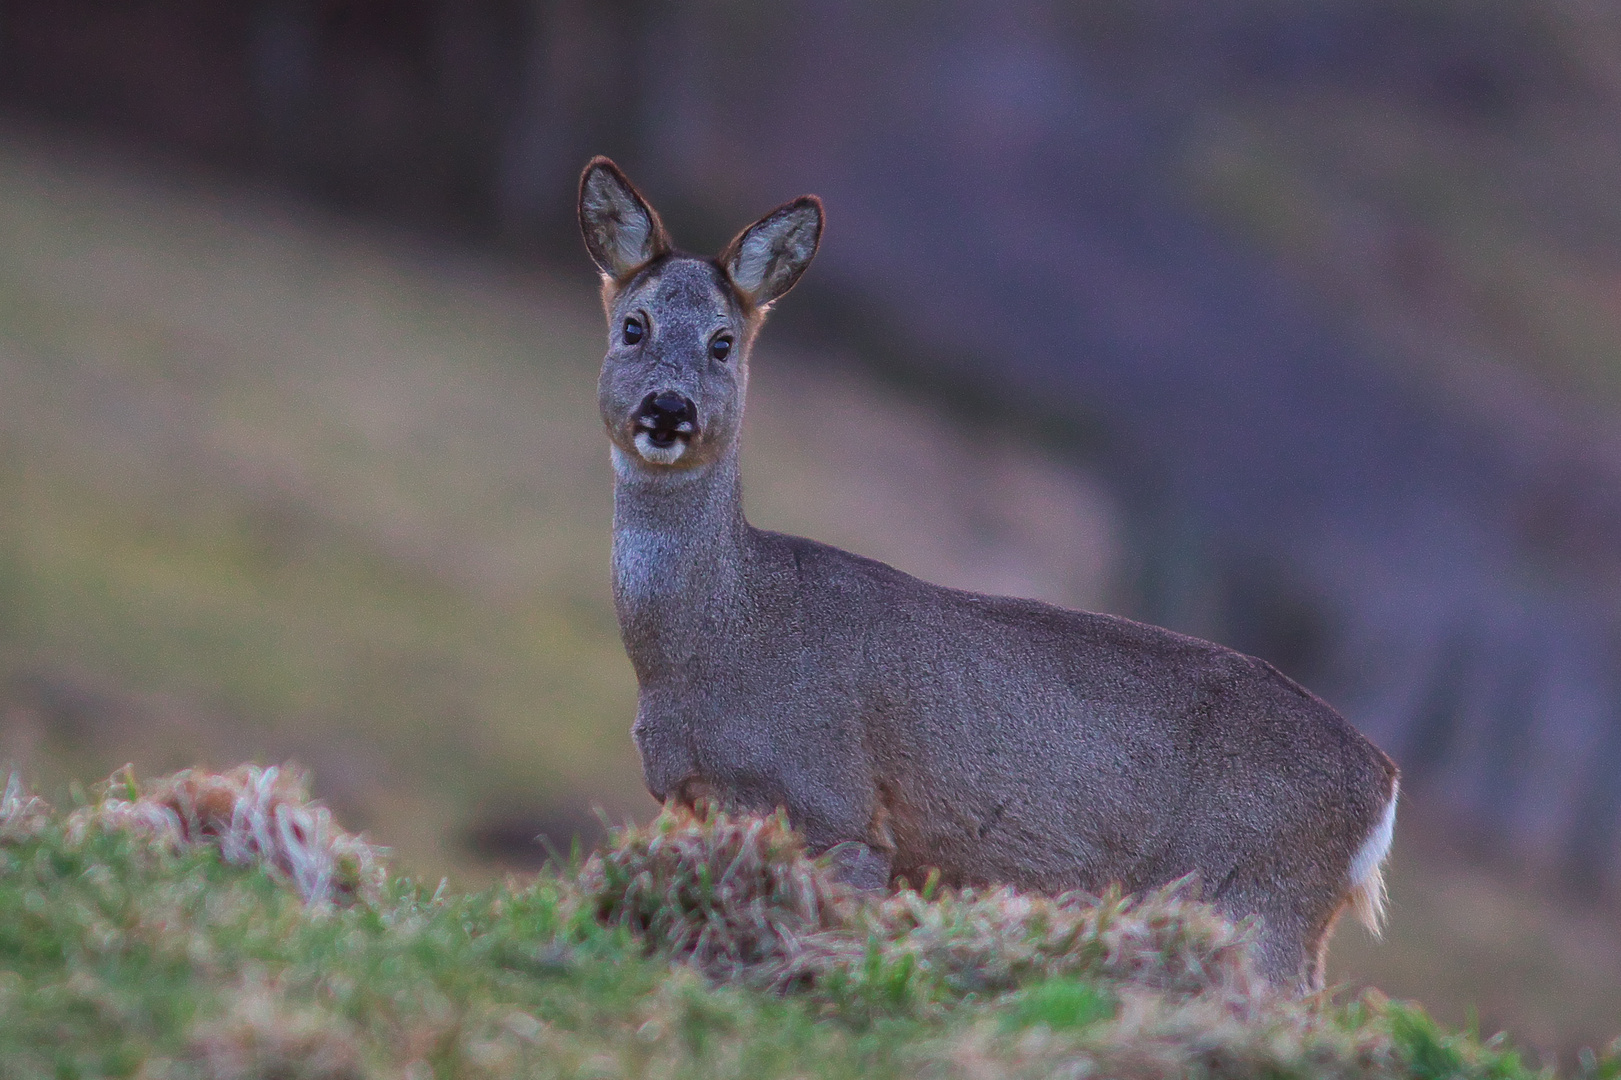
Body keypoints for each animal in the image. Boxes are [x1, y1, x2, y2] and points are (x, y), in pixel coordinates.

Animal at [580, 155, 1394, 985]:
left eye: (722, 341)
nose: (668, 410)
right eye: (633, 326)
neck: (718, 634)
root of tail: (1382, 787)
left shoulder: (837, 809)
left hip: (1259, 893)